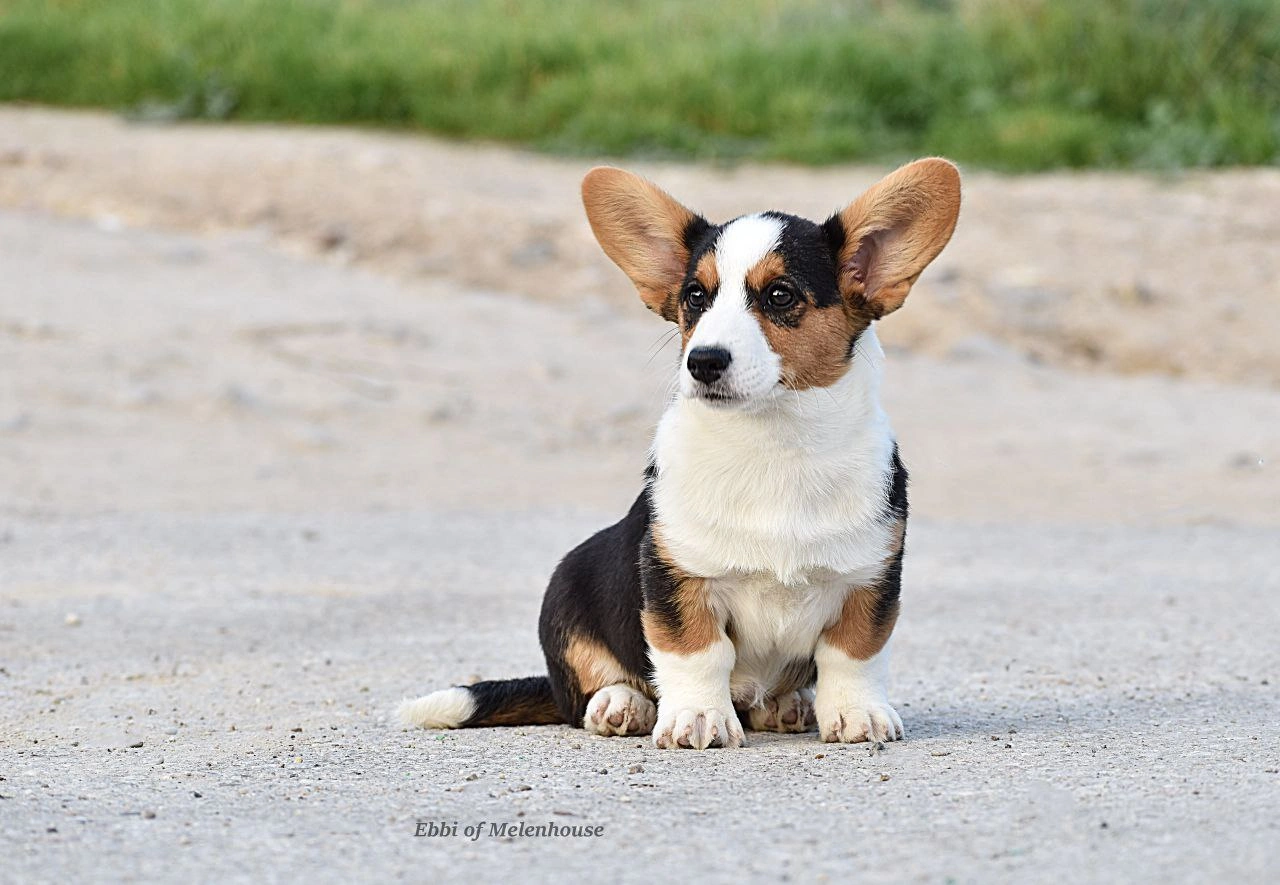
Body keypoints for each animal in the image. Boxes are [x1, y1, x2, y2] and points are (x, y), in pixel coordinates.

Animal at [399, 159, 960, 749]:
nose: (703, 361)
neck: (773, 442)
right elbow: (697, 651)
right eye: (695, 296)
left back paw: (786, 704)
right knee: (587, 691)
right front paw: (699, 718)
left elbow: (853, 653)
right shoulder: (675, 573)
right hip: (569, 590)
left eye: (780, 295)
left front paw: (857, 714)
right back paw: (622, 705)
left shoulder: (871, 577)